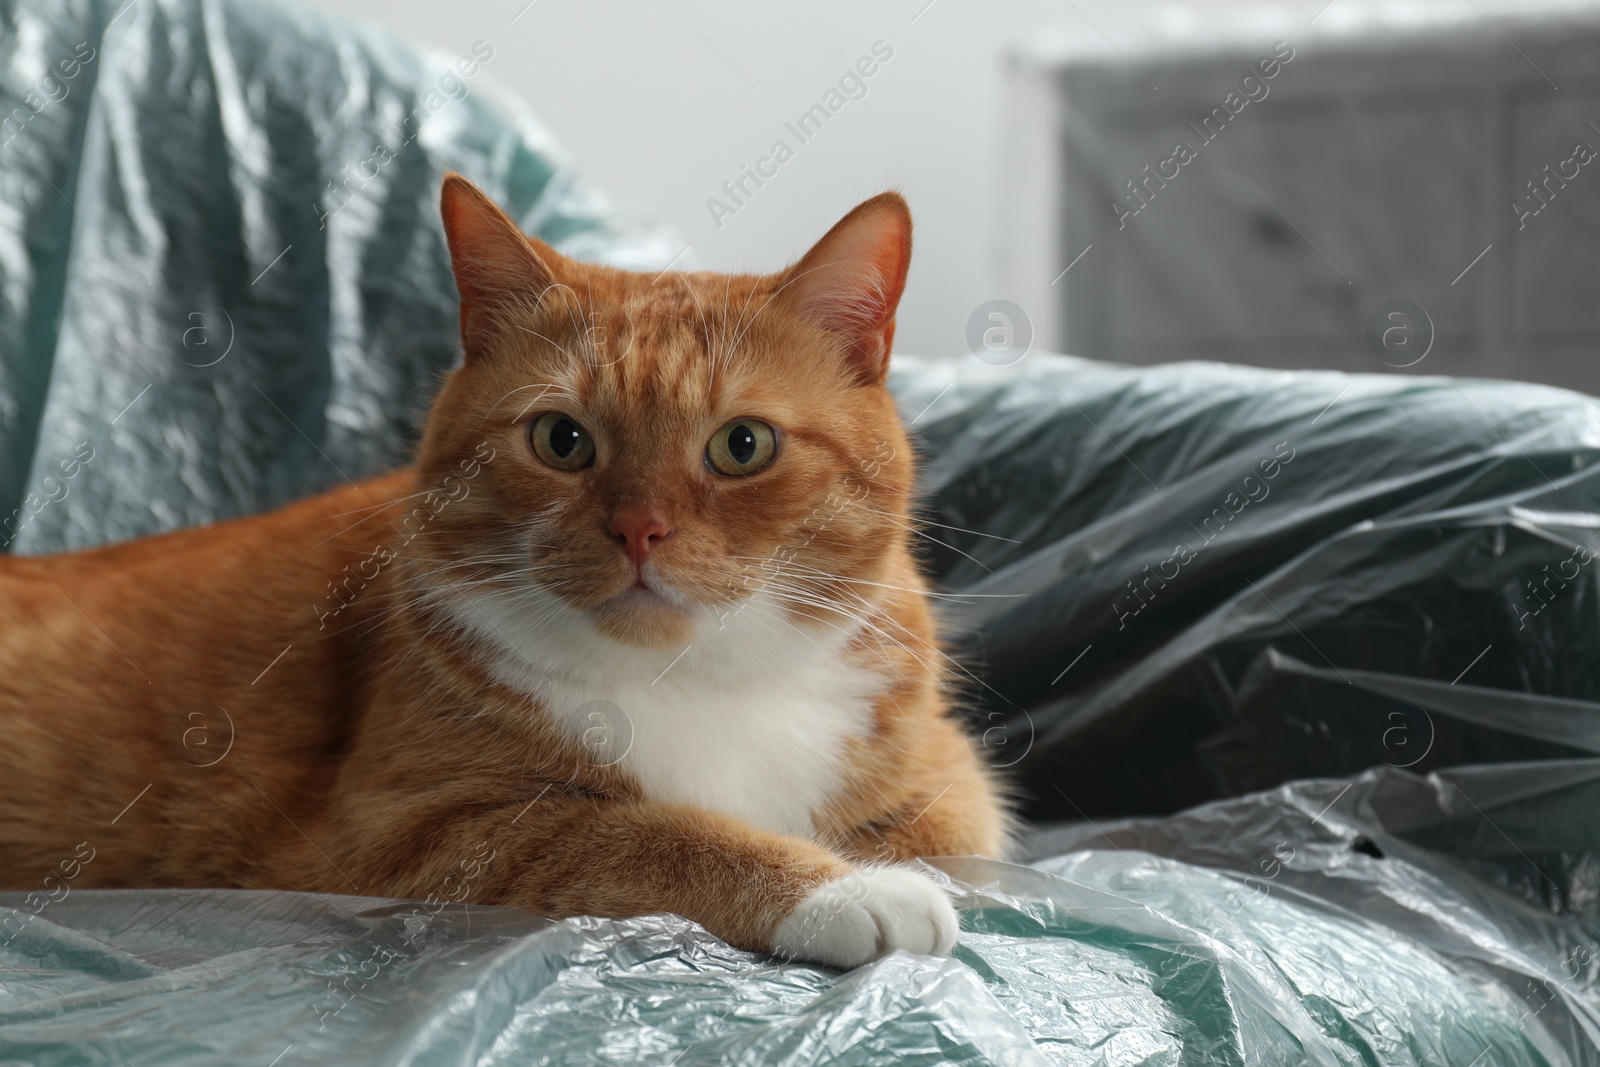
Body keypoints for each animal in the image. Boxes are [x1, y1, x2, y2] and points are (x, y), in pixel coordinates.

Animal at [0, 175, 1011, 966]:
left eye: (743, 445)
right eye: (562, 440)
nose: (639, 529)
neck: (689, 678)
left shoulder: (945, 772)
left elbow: (951, 833)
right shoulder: (411, 829)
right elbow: (651, 832)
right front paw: (848, 890)